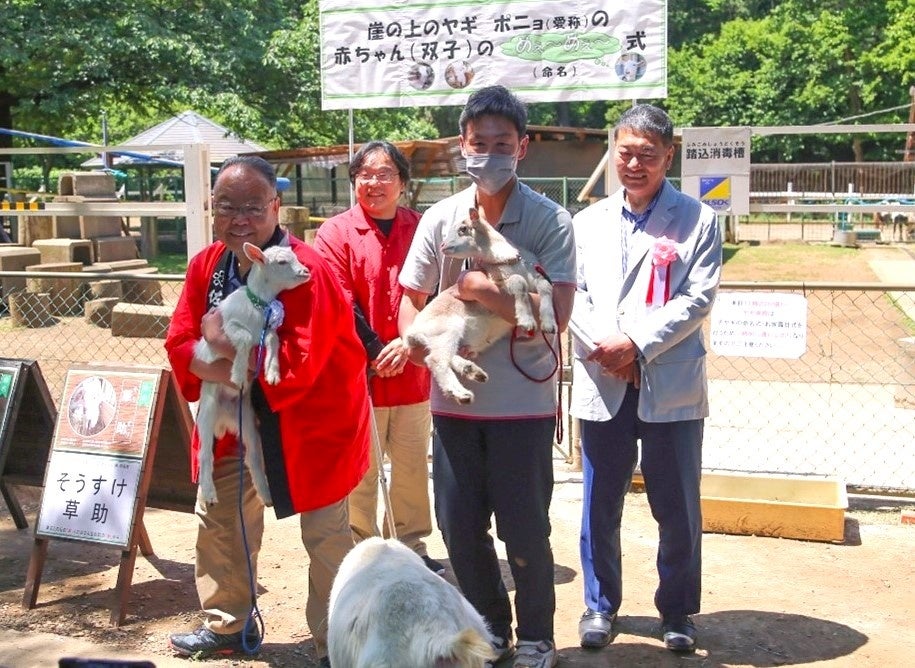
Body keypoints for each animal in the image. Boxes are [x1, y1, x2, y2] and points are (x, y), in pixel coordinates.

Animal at [193, 243, 312, 504]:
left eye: (295, 257)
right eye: (281, 262)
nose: (305, 272)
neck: (258, 307)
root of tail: (225, 420)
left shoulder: (268, 330)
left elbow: (274, 341)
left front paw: (273, 373)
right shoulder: (229, 326)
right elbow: (245, 337)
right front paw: (238, 374)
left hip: (247, 421)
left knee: (254, 457)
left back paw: (266, 495)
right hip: (206, 413)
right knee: (205, 454)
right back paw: (210, 494)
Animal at [404, 206, 556, 404]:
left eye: (463, 229)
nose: (443, 246)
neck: (506, 260)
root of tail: (411, 331)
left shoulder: (537, 276)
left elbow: (546, 287)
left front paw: (549, 323)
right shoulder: (497, 282)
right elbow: (519, 282)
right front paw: (526, 320)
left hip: (444, 339)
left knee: (447, 356)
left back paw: (471, 371)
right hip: (446, 328)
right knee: (435, 360)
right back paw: (461, 394)